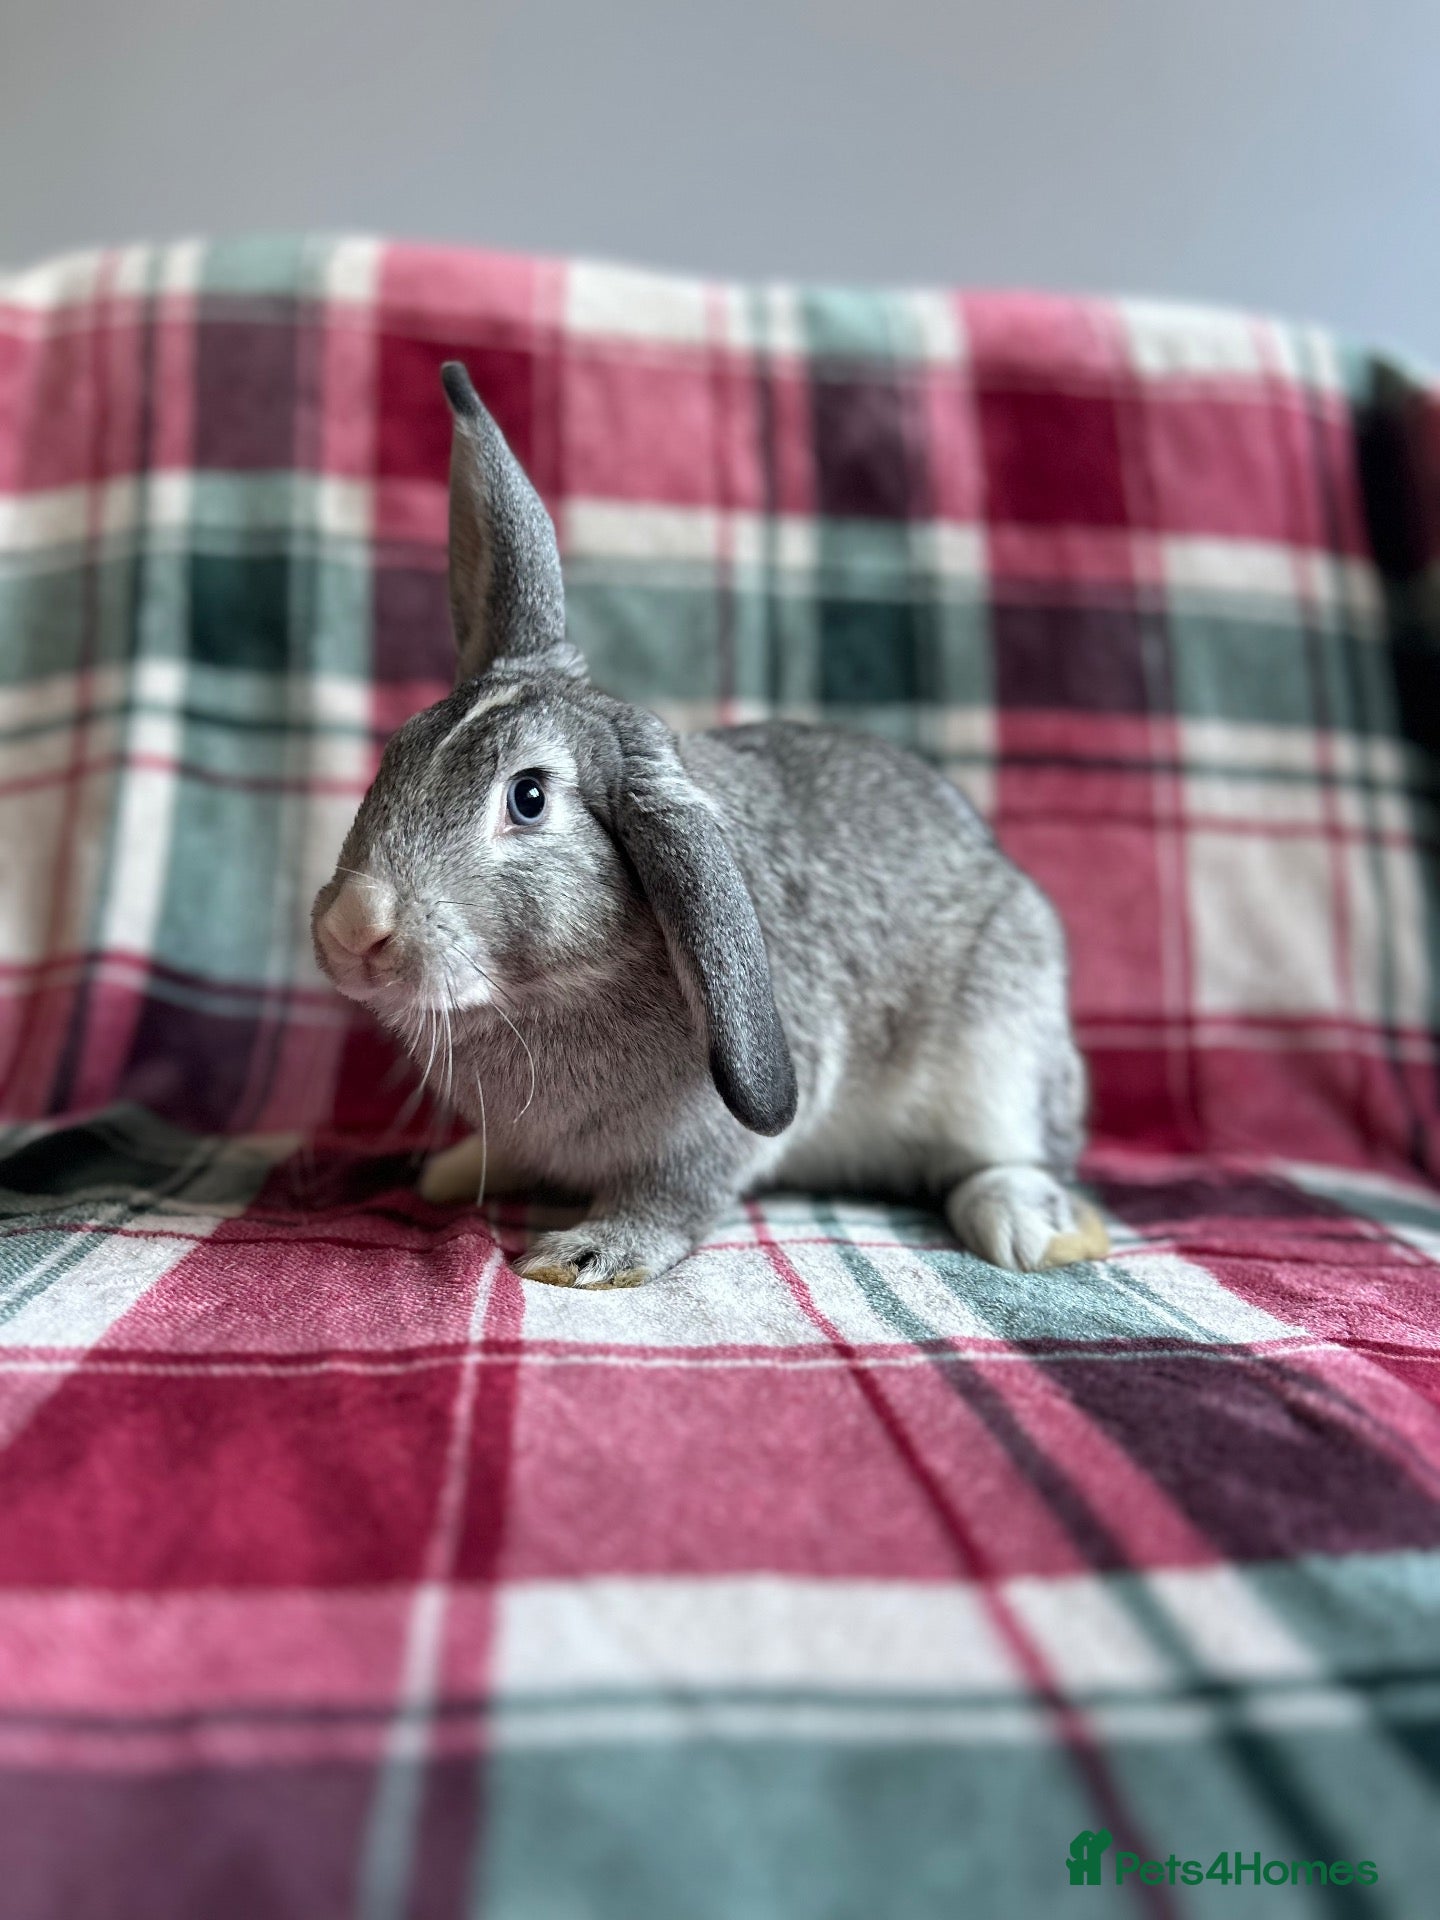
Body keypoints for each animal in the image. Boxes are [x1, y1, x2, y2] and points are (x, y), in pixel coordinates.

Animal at [311, 362, 1110, 1289]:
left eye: (530, 798)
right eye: (397, 749)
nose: (354, 923)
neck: (555, 989)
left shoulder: (706, 1141)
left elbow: (674, 1202)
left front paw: (585, 1255)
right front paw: (455, 1172)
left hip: (1001, 1050)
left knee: (1013, 1156)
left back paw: (1032, 1231)